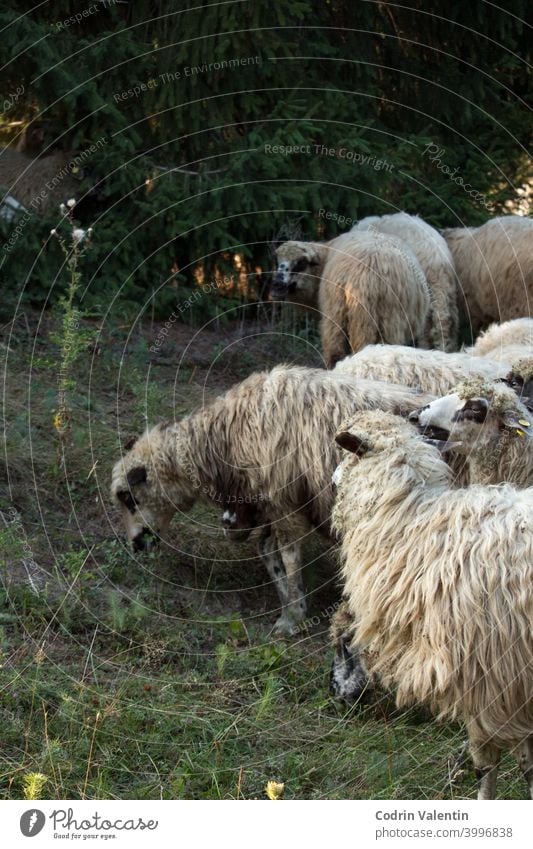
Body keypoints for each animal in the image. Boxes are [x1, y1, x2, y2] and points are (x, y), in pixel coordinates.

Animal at [270, 230, 428, 366]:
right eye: (277, 262)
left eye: (301, 263)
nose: (276, 285)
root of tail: (366, 276)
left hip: (341, 317)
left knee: (335, 354)